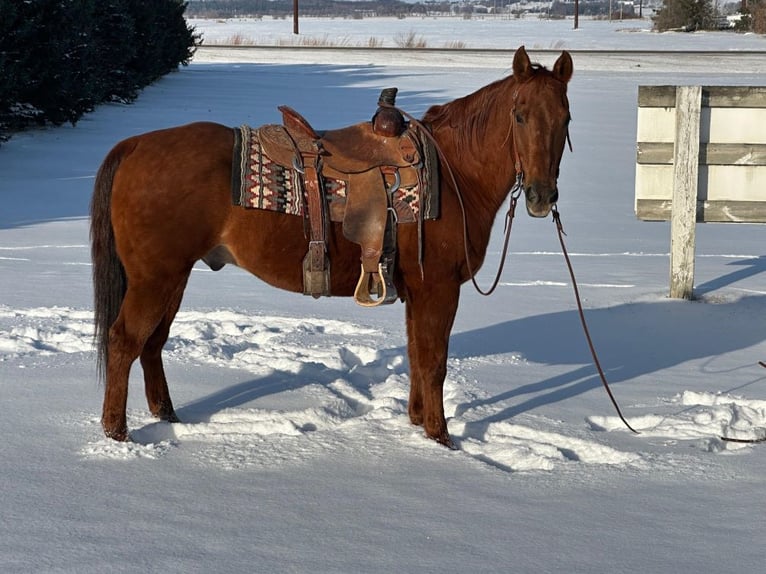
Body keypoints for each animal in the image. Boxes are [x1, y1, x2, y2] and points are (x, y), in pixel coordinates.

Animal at [90, 46, 573, 447]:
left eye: (565, 119)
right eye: (519, 116)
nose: (541, 196)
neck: (455, 172)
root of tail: (135, 145)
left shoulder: (418, 292)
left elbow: (417, 356)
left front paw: (417, 423)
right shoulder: (438, 288)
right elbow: (434, 361)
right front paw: (440, 438)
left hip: (173, 277)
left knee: (153, 344)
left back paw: (167, 416)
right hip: (155, 279)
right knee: (124, 341)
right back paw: (117, 432)